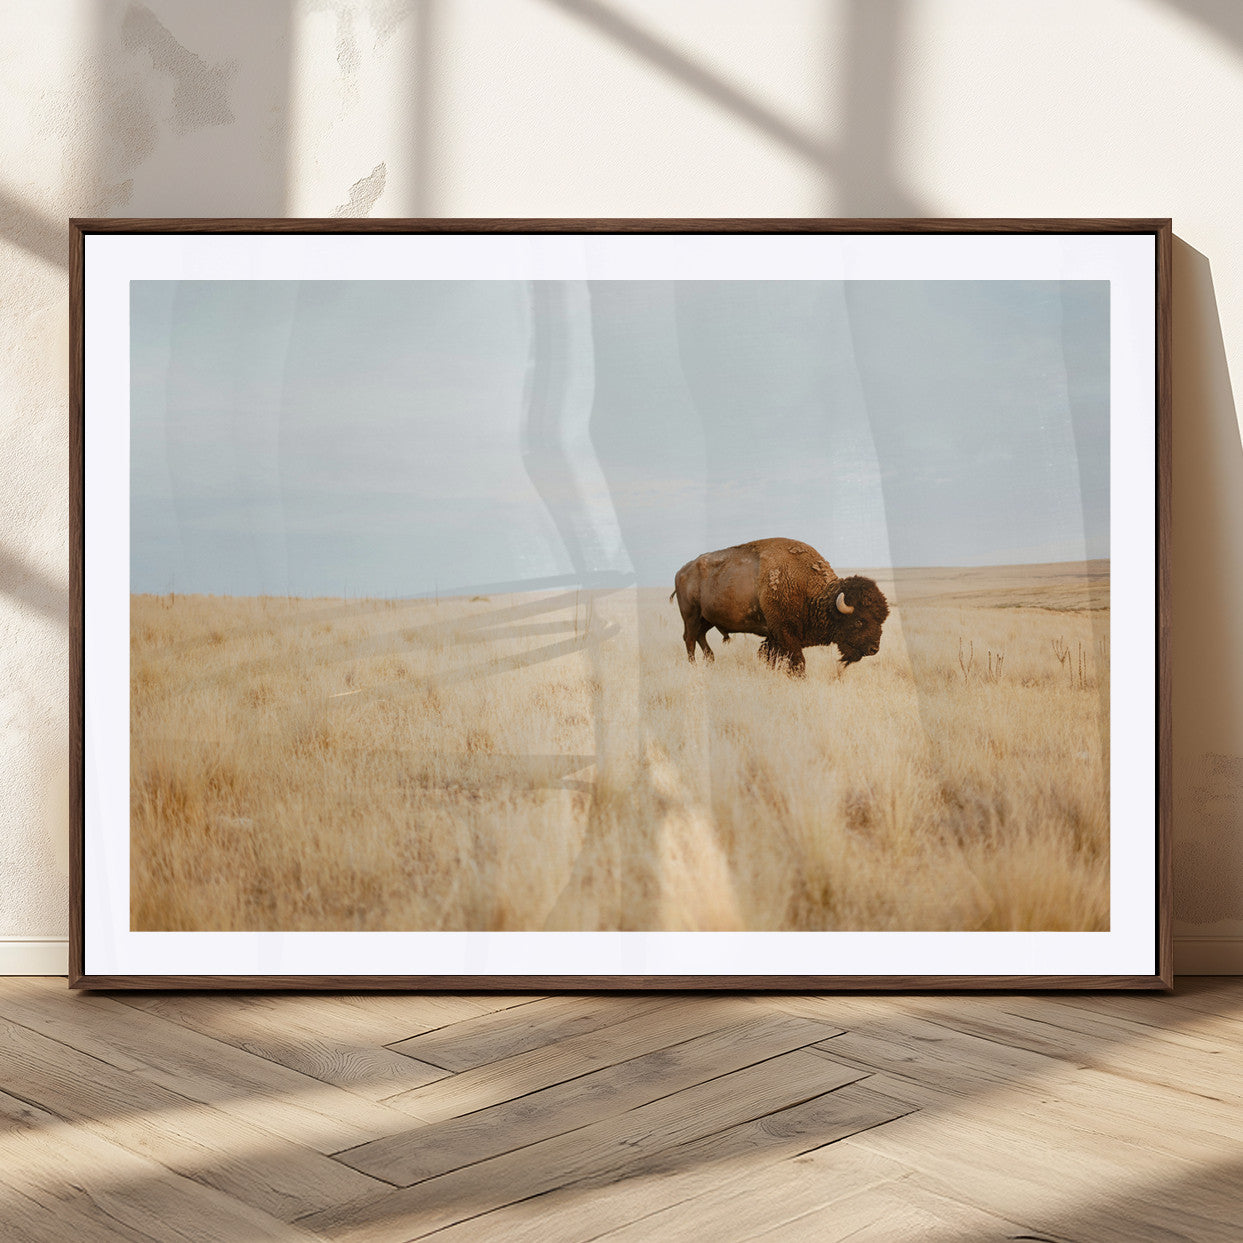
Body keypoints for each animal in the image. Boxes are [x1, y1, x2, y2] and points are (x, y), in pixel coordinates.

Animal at [671, 538, 889, 675]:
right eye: (859, 620)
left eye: (881, 620)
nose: (874, 648)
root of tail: (681, 571)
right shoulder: (785, 633)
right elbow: (797, 661)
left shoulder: (775, 637)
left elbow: (771, 658)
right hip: (691, 615)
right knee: (690, 639)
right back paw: (694, 666)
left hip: (706, 619)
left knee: (700, 637)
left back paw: (710, 661)